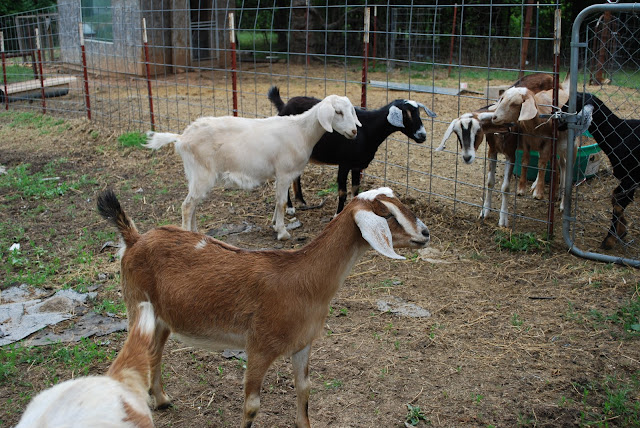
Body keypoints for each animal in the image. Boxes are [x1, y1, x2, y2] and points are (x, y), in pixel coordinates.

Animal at [96, 186, 430, 428]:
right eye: (387, 215)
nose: (425, 234)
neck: (303, 280)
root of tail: (134, 239)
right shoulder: (258, 346)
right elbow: (252, 406)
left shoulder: (303, 344)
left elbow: (304, 387)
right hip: (135, 303)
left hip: (162, 319)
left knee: (155, 352)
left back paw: (162, 399)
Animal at [147, 94, 362, 241]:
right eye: (338, 112)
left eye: (350, 111)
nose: (353, 131)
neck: (301, 131)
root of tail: (182, 138)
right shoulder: (284, 172)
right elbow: (282, 202)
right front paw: (283, 232)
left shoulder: (280, 175)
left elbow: (278, 201)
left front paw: (275, 225)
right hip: (202, 173)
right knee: (187, 205)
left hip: (194, 174)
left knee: (193, 204)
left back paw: (195, 233)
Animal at [264, 86, 436, 214]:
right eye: (405, 114)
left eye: (418, 113)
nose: (422, 135)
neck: (368, 129)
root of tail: (284, 106)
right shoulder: (344, 163)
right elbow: (342, 192)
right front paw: (337, 214)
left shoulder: (357, 165)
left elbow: (355, 190)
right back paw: (290, 207)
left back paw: (301, 201)